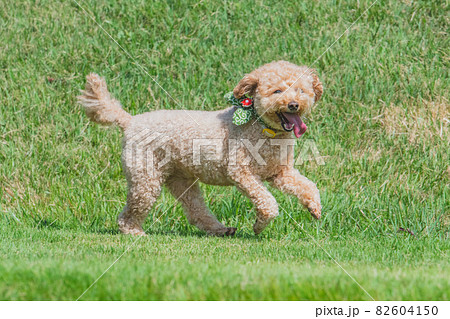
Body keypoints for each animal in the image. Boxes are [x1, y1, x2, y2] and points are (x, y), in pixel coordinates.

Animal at [78, 61, 324, 238]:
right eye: (277, 91)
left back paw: (220, 229)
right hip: (145, 179)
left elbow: (307, 186)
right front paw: (259, 225)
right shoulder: (242, 172)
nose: (293, 104)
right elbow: (268, 203)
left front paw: (314, 207)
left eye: (301, 90)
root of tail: (130, 121)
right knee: (131, 211)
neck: (262, 128)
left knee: (195, 210)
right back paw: (134, 231)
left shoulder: (280, 173)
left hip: (181, 180)